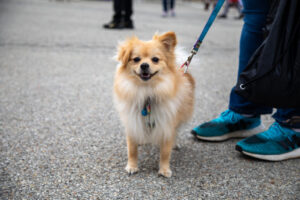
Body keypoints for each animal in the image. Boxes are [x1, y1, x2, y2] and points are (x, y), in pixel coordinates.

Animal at [113, 31, 196, 178]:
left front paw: (164, 169)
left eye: (155, 59)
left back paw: (176, 143)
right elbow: (132, 149)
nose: (144, 65)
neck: (147, 92)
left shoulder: (167, 123)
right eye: (136, 59)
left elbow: (165, 152)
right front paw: (132, 166)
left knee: (176, 131)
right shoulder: (132, 121)